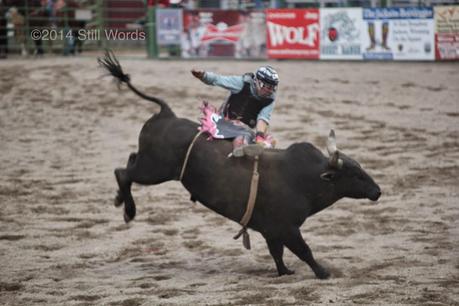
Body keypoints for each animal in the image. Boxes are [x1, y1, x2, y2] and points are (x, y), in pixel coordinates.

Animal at [99, 52, 380, 280]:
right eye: (355, 174)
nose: (377, 191)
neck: (304, 178)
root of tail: (166, 113)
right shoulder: (287, 228)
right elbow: (304, 250)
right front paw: (323, 272)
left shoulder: (271, 231)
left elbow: (277, 253)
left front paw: (285, 272)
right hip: (155, 170)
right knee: (123, 173)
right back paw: (129, 211)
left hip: (149, 164)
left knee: (129, 162)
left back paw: (119, 200)